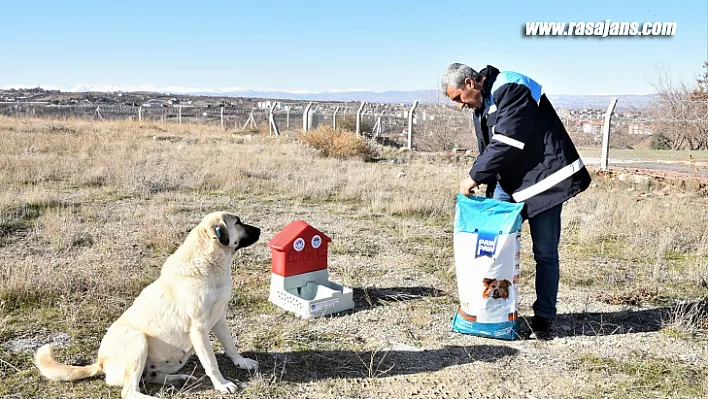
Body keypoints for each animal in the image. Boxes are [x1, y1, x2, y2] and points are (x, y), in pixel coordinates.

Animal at [35, 211, 260, 398]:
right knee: (129, 391)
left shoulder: (219, 319)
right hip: (137, 339)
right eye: (238, 222)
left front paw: (242, 362)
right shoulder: (199, 329)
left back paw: (179, 379)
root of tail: (101, 362)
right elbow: (211, 362)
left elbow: (230, 346)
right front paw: (222, 384)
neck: (210, 263)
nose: (260, 230)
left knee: (150, 377)